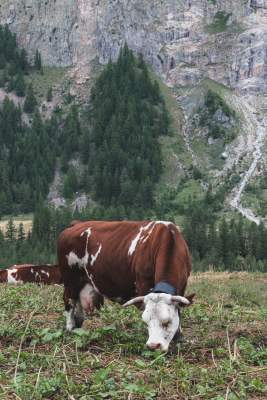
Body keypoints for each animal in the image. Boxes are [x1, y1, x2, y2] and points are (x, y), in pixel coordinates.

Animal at [58, 220, 195, 352]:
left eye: (167, 322)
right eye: (146, 322)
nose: (153, 346)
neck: (168, 239)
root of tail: (77, 223)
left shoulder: (182, 286)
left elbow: (179, 310)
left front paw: (179, 337)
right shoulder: (143, 284)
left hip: (81, 283)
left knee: (78, 303)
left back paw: (78, 327)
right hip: (70, 279)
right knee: (69, 301)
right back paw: (70, 328)